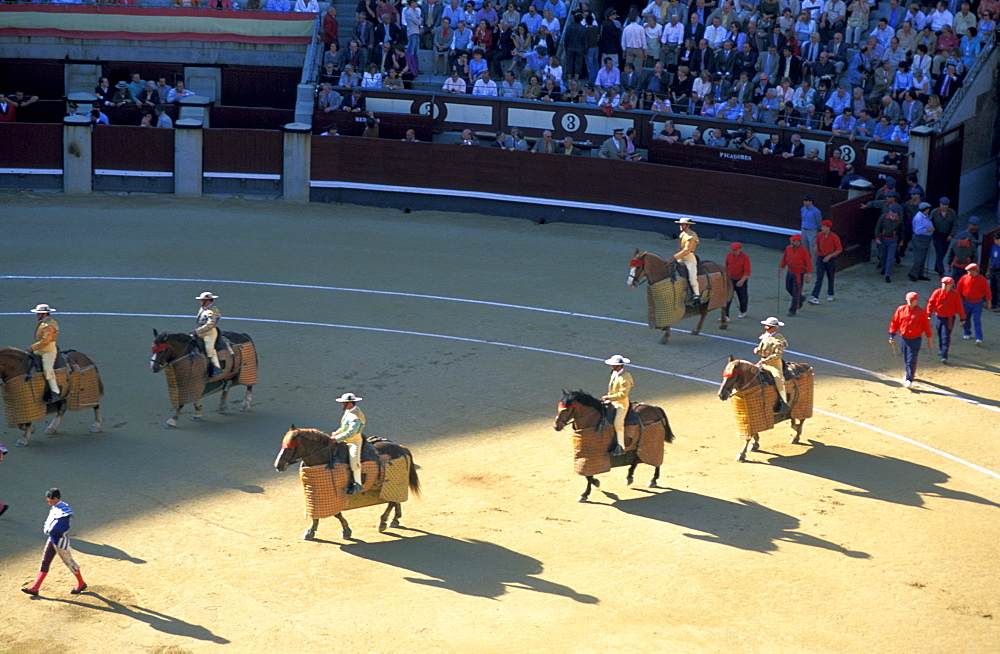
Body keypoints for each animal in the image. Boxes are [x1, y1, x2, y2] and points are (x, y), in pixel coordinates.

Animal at [272, 428, 420, 540]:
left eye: (289, 448)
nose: (278, 465)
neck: (324, 457)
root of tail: (400, 448)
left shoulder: (333, 495)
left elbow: (336, 514)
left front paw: (346, 531)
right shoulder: (315, 495)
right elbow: (316, 514)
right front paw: (310, 531)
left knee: (391, 502)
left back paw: (382, 522)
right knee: (395, 500)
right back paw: (394, 520)